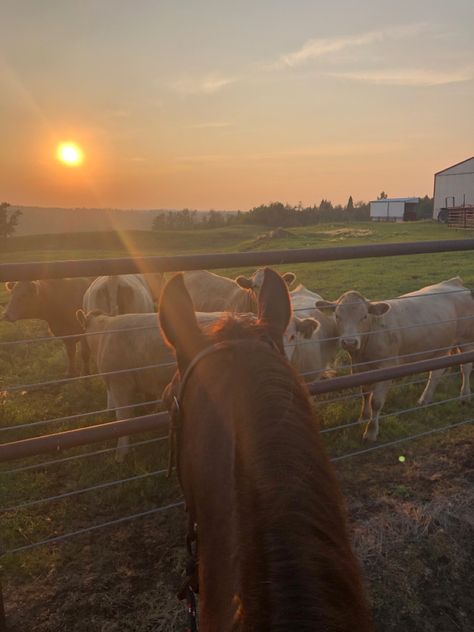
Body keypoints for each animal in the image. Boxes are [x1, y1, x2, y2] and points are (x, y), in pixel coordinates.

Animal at [316, 278, 474, 442]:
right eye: (337, 316)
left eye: (364, 316)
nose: (349, 342)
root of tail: (453, 282)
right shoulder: (360, 369)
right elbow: (365, 393)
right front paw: (363, 417)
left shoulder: (387, 368)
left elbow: (376, 402)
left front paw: (371, 432)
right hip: (441, 346)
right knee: (437, 371)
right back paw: (425, 399)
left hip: (466, 340)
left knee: (466, 367)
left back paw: (465, 396)